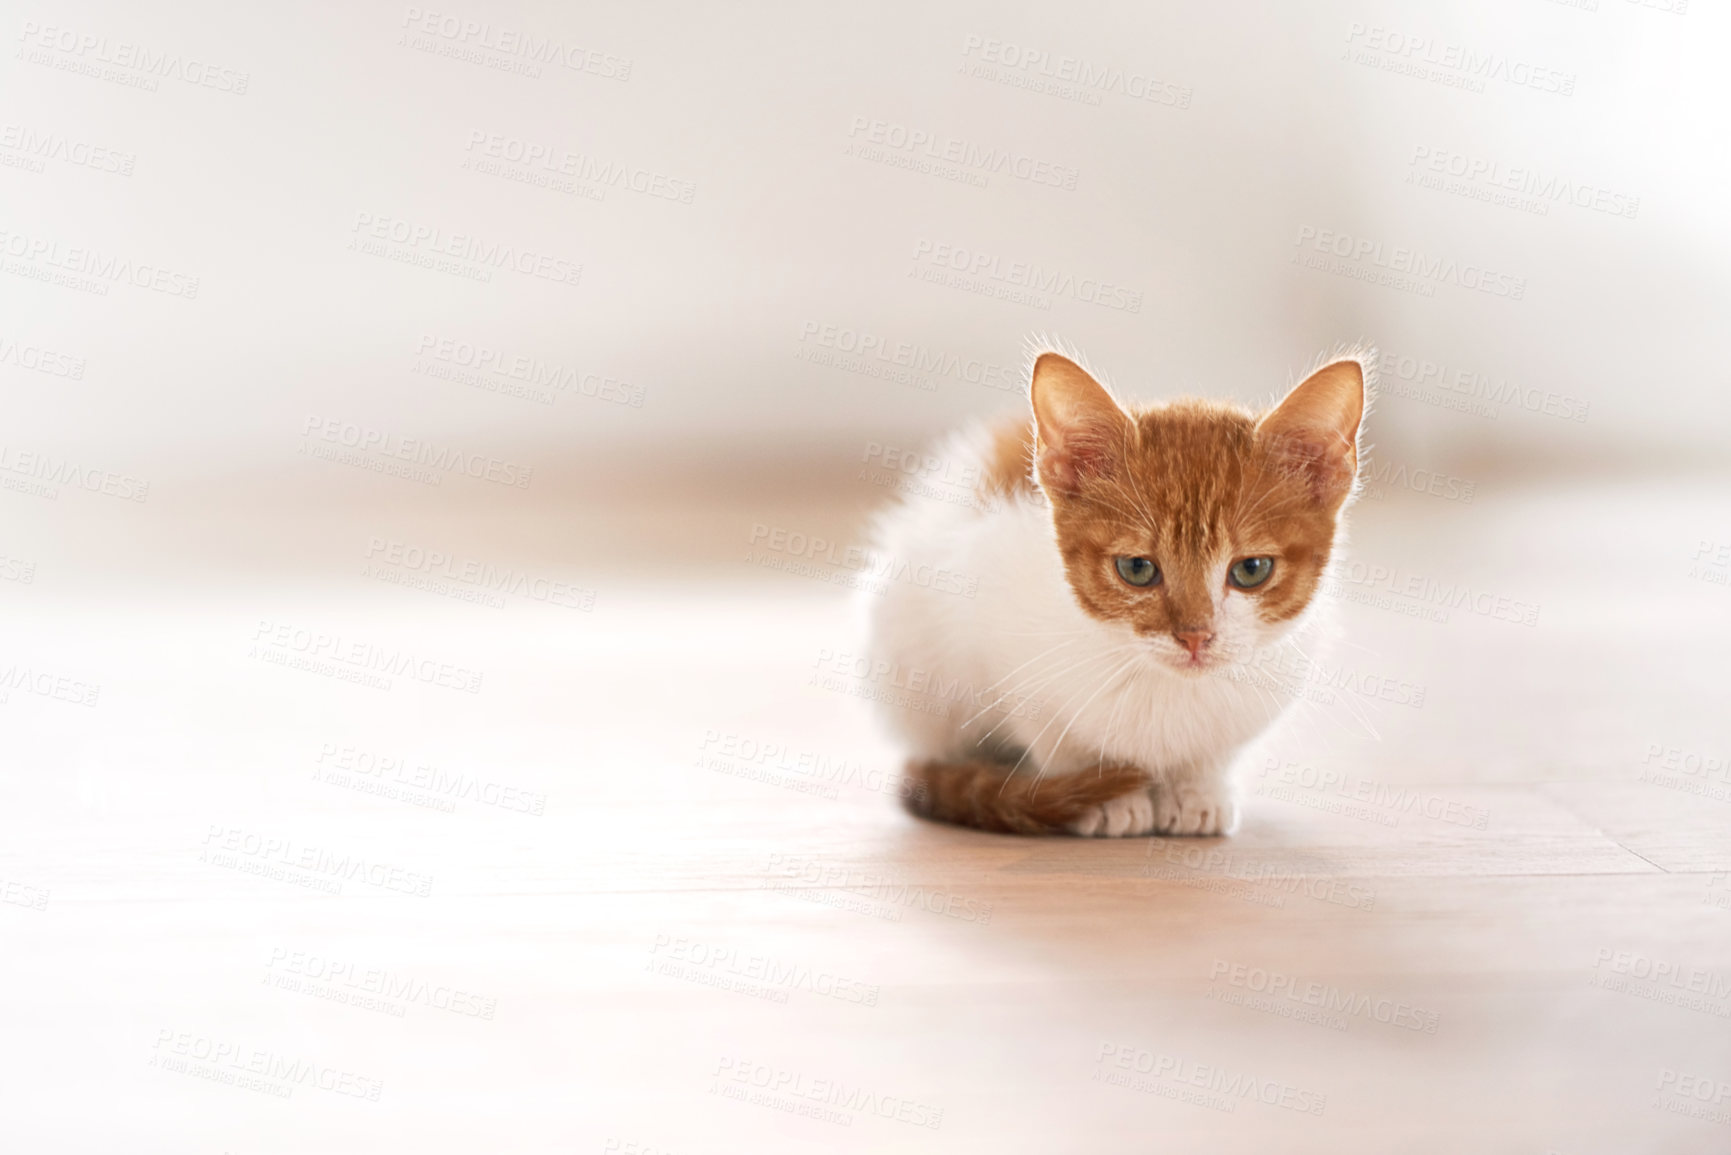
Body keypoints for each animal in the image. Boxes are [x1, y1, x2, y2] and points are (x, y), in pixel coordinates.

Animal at [862, 348, 1364, 834]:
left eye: (1251, 570)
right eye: (1137, 568)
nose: (1195, 636)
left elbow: (1213, 753)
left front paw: (1197, 792)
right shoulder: (995, 637)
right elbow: (1055, 737)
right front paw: (1109, 798)